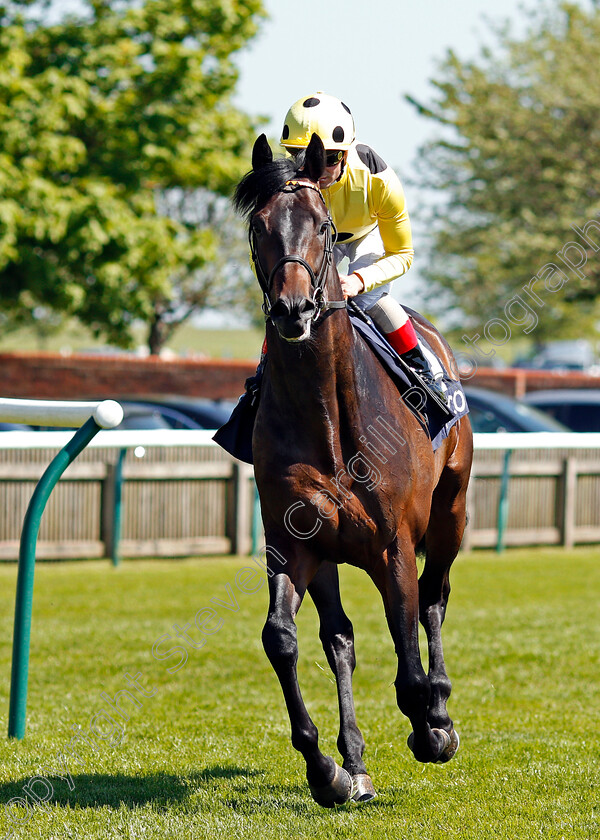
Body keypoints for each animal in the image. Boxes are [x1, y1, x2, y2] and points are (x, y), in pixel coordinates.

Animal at [234, 133, 474, 808]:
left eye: (322, 226)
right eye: (259, 226)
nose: (293, 310)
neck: (328, 420)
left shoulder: (395, 545)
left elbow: (408, 649)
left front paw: (431, 727)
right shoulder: (294, 543)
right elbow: (283, 639)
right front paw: (329, 770)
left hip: (451, 512)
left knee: (435, 599)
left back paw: (440, 712)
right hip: (330, 555)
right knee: (338, 637)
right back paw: (356, 763)